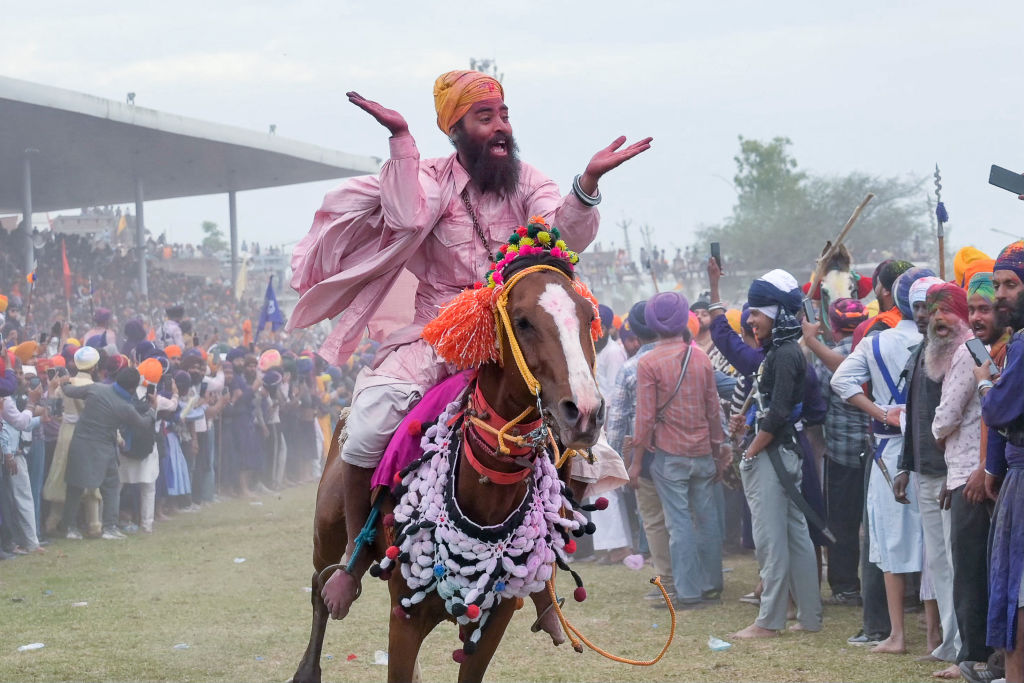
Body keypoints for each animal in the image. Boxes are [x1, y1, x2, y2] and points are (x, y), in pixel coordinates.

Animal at [292, 259, 602, 683]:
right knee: (319, 585)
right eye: (522, 322)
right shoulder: (405, 617)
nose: (584, 411)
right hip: (327, 527)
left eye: (588, 317)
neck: (485, 492)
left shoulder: (493, 621)